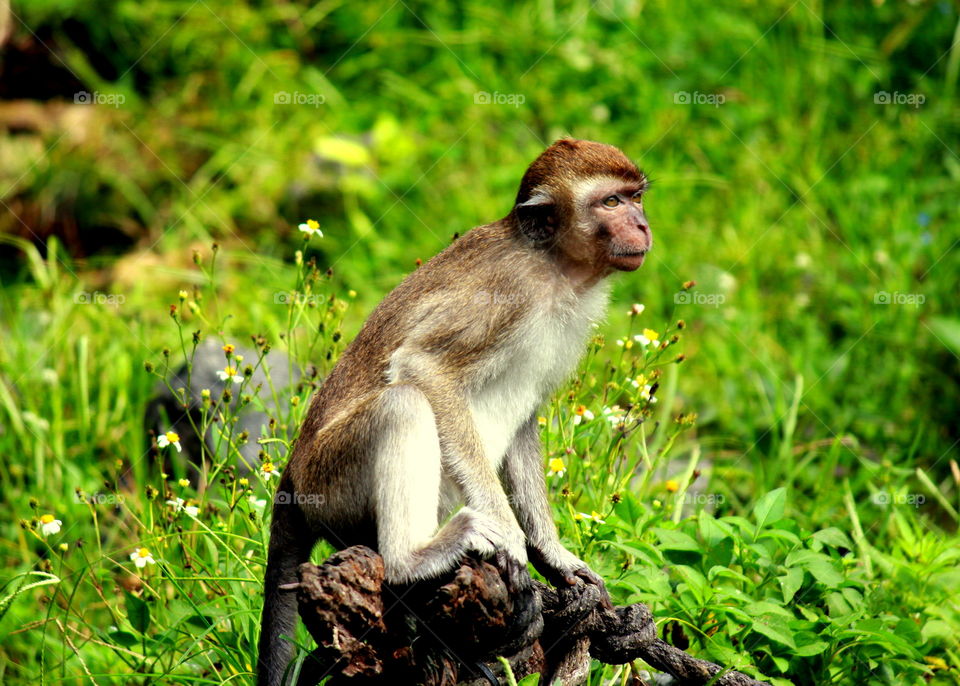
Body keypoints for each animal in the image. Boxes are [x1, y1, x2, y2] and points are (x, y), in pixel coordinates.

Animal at [257, 138, 652, 685]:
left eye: (636, 197)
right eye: (611, 202)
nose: (642, 225)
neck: (552, 265)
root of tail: (292, 475)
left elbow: (525, 419)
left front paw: (553, 556)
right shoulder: (509, 292)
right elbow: (424, 366)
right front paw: (510, 536)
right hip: (330, 482)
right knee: (403, 403)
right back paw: (412, 558)